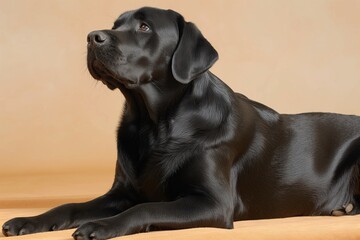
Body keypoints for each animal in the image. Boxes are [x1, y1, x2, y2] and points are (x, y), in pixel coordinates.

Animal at [2, 6, 360, 239]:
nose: (92, 37)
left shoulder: (212, 202)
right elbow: (69, 206)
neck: (152, 124)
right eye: (116, 23)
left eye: (144, 28)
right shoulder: (122, 192)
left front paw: (101, 226)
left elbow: (145, 209)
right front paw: (28, 220)